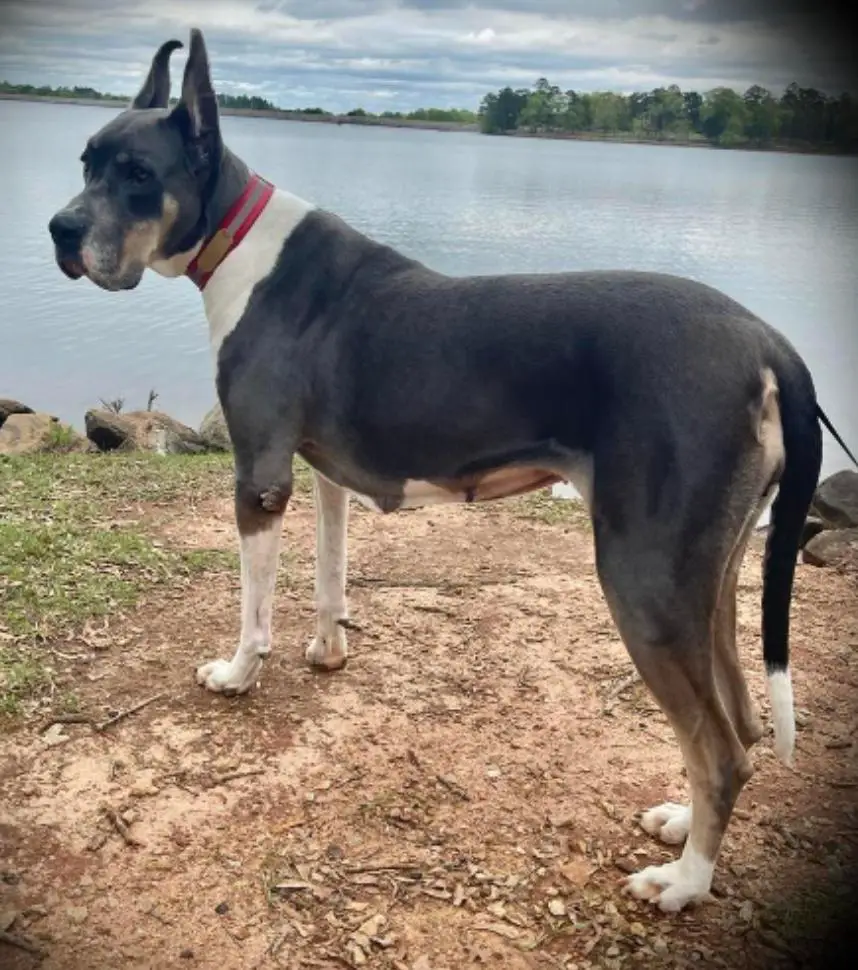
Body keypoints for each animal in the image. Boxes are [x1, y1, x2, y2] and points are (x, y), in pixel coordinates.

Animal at [48, 28, 856, 908]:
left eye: (137, 174)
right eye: (86, 161)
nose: (59, 229)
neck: (236, 237)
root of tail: (769, 344)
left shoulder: (259, 477)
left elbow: (254, 608)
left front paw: (236, 673)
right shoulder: (322, 474)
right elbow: (329, 573)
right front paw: (328, 650)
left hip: (646, 579)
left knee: (722, 749)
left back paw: (684, 883)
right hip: (711, 578)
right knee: (739, 717)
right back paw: (682, 826)